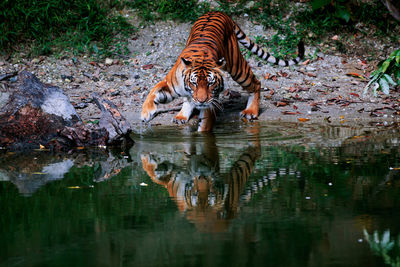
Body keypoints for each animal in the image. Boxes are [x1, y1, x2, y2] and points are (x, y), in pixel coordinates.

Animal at [141, 12, 304, 131]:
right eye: (194, 83)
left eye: (210, 83)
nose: (201, 101)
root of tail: (219, 12)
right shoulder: (170, 84)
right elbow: (153, 92)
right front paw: (145, 114)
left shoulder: (211, 102)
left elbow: (204, 126)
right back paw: (181, 116)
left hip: (238, 68)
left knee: (256, 83)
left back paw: (251, 112)